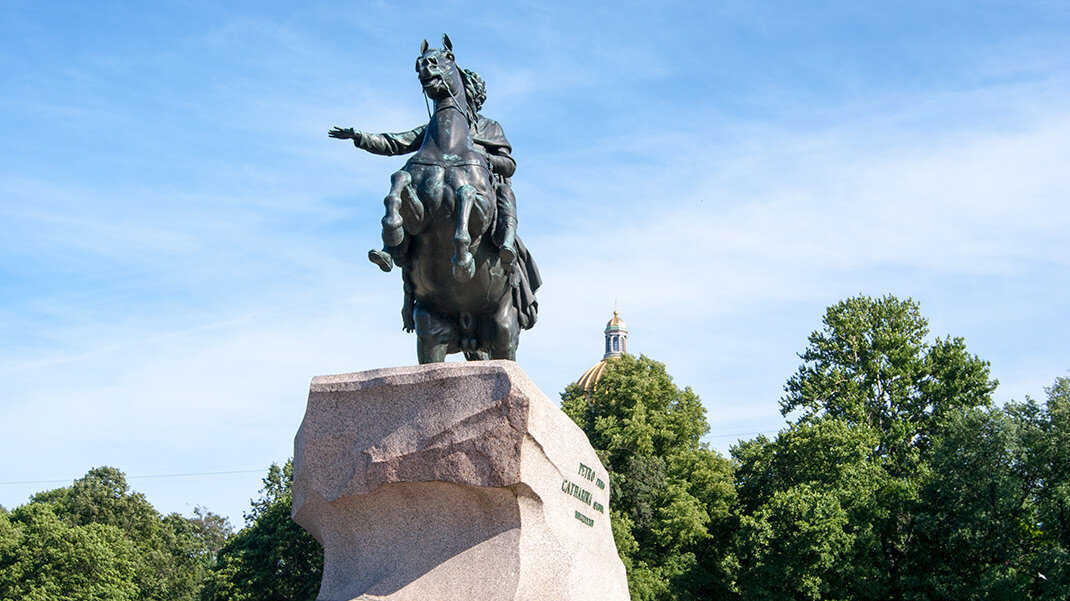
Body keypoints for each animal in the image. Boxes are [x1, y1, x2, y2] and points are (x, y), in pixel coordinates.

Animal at [380, 36, 522, 359]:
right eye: (423, 56)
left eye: (448, 56)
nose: (424, 64)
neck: (447, 147)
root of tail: (469, 330)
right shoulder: (419, 214)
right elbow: (398, 180)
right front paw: (392, 232)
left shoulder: (482, 213)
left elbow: (466, 193)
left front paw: (463, 261)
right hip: (431, 329)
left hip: (503, 330)